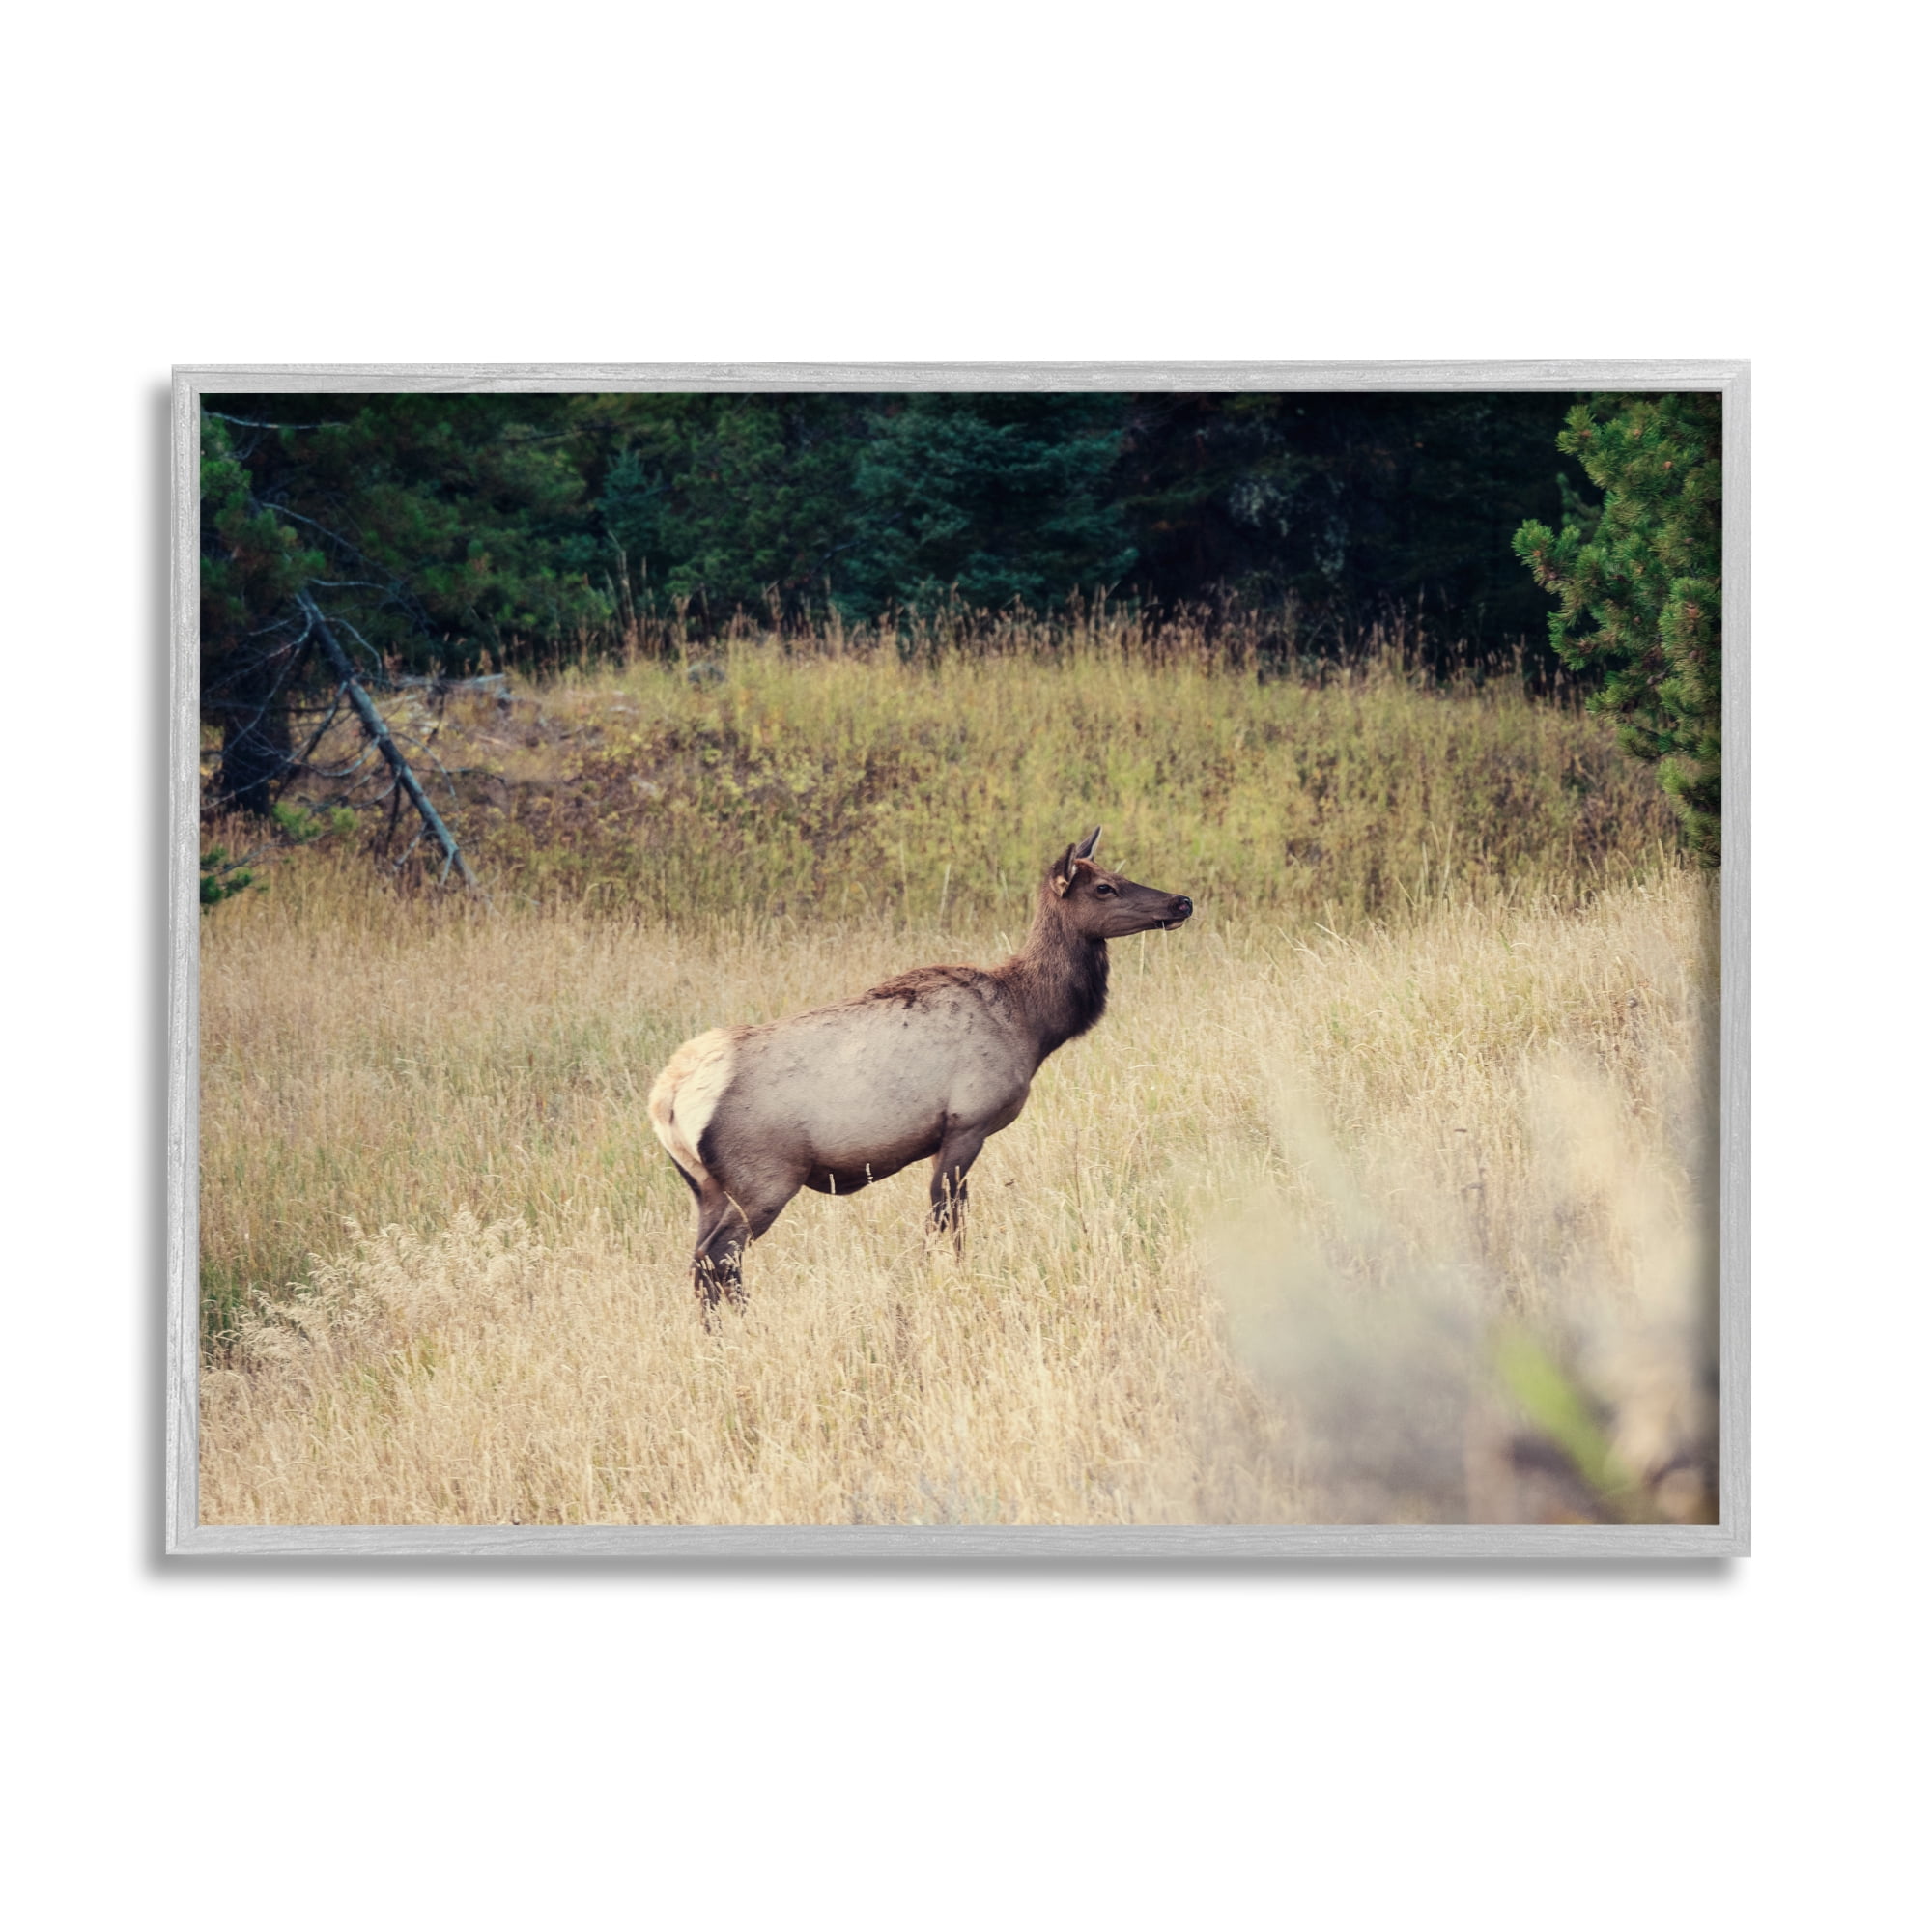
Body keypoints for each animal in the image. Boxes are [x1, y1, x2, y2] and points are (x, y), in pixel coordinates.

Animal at [648, 829, 1193, 1309]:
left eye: (1117, 872)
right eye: (1104, 887)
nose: (1182, 902)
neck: (1032, 1023)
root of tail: (667, 1099)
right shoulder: (968, 1123)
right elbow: (946, 1221)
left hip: (705, 1187)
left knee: (700, 1260)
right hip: (764, 1178)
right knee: (718, 1258)